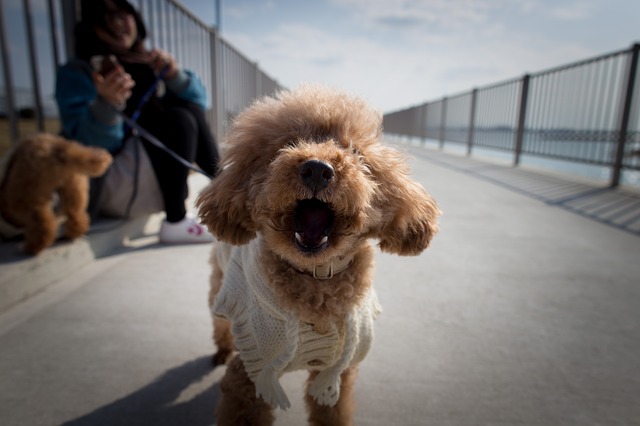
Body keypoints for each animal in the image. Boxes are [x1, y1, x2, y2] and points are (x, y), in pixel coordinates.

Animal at [198, 85, 442, 424]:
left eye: (354, 152)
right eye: (287, 144)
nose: (316, 169)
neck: (317, 280)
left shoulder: (336, 373)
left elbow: (332, 411)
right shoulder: (250, 373)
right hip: (221, 289)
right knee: (219, 320)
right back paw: (221, 348)